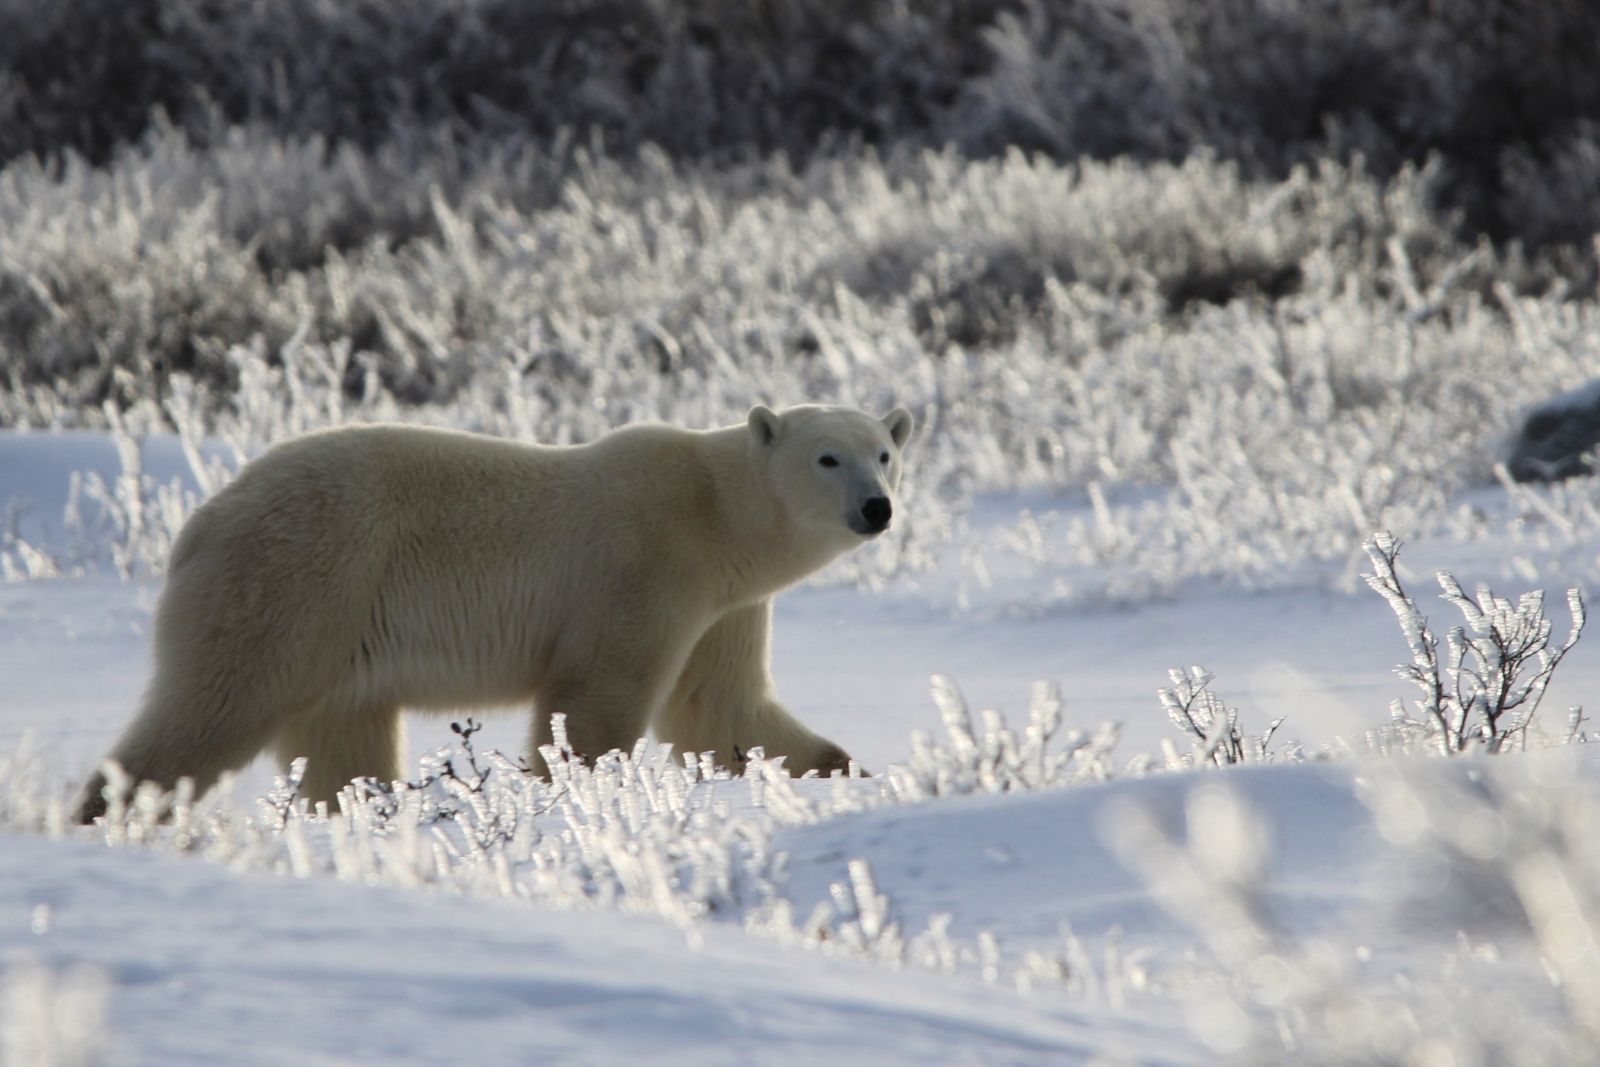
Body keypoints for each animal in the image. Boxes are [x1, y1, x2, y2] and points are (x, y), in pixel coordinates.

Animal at [75, 403, 914, 822]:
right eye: (827, 457)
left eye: (885, 451)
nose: (877, 507)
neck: (714, 513)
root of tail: (202, 520)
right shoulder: (642, 567)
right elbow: (597, 702)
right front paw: (571, 794)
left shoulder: (724, 605)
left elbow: (723, 709)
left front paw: (854, 770)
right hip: (295, 581)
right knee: (215, 706)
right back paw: (108, 813)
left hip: (336, 634)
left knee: (342, 745)